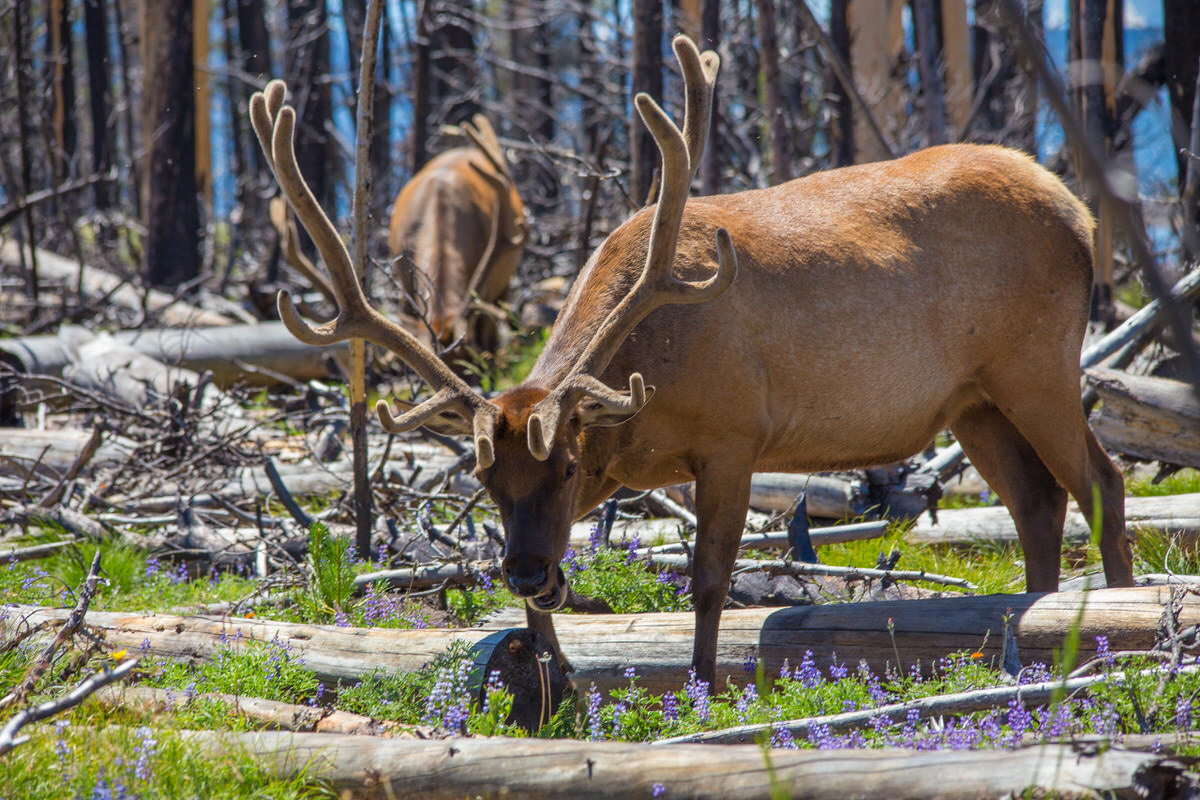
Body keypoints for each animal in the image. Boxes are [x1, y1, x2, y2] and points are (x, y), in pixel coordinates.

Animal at [246, 35, 1132, 690]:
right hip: (973, 400)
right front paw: (555, 680)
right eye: (483, 476)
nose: (523, 569)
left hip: (1038, 362)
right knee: (1037, 500)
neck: (646, 405)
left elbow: (709, 580)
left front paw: (705, 686)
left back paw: (1124, 619)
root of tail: (1081, 216)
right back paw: (1041, 620)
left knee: (1101, 480)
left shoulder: (735, 437)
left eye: (567, 466)